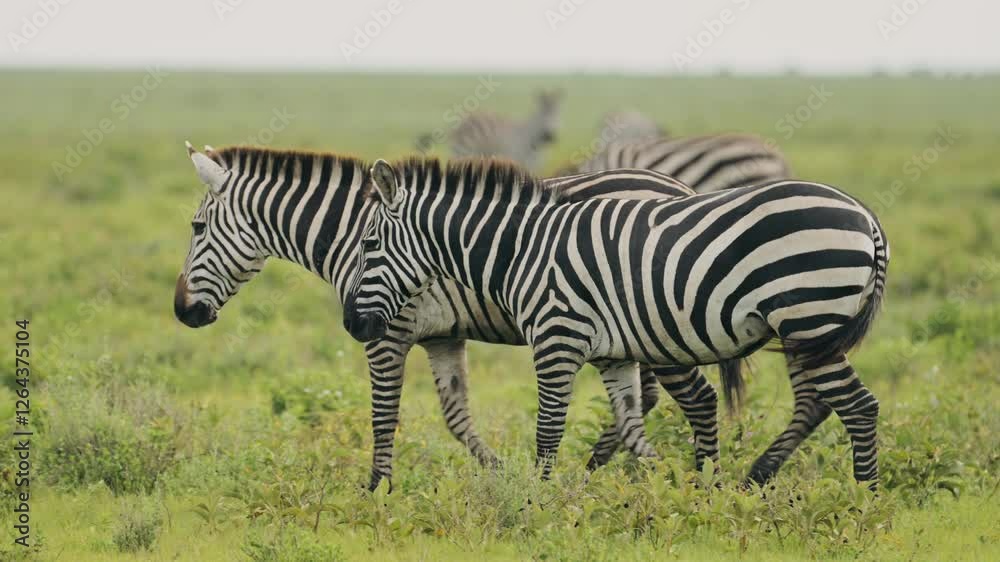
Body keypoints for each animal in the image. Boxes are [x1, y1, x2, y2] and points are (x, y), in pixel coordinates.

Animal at [173, 142, 722, 490]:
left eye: (197, 228)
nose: (182, 312)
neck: (355, 235)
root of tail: (677, 187)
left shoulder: (386, 332)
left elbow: (383, 416)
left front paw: (377, 491)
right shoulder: (441, 336)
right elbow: (456, 417)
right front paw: (498, 472)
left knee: (686, 397)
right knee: (646, 397)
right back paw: (607, 466)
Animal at [344, 157, 890, 487]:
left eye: (368, 244)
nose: (352, 324)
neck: (521, 248)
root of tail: (864, 214)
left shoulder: (556, 339)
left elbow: (548, 430)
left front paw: (536, 504)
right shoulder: (614, 354)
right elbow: (629, 422)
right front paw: (660, 491)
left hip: (809, 322)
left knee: (859, 407)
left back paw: (863, 498)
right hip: (809, 331)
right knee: (830, 403)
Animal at [414, 89, 563, 172]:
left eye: (558, 113)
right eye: (541, 113)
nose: (550, 136)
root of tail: (459, 123)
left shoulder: (536, 164)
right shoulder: (516, 156)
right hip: (463, 150)